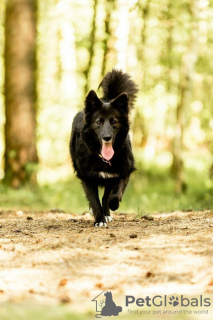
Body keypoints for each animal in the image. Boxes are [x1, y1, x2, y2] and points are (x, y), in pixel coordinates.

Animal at [69, 69, 137, 226]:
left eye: (114, 122)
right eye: (98, 122)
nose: (107, 137)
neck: (103, 159)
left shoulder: (123, 172)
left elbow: (112, 195)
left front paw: (112, 207)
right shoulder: (86, 177)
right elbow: (94, 200)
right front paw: (99, 220)